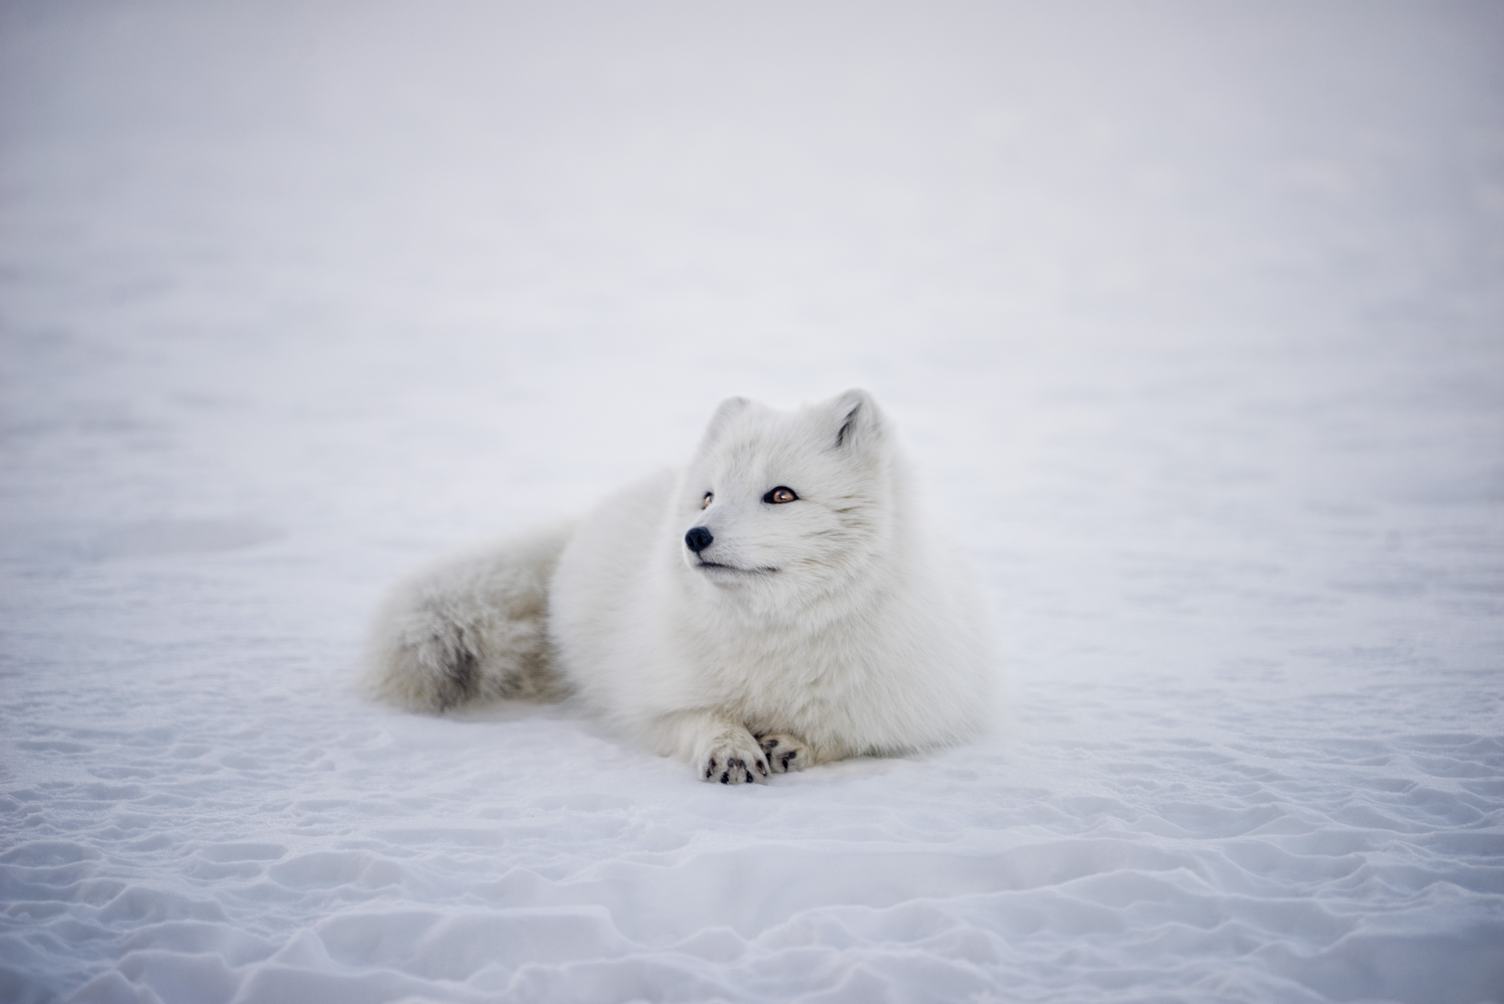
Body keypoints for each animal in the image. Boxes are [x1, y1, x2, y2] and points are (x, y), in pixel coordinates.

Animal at [366, 387, 998, 781]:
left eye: (781, 495)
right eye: (709, 497)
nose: (694, 536)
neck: (776, 635)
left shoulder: (911, 712)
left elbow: (849, 734)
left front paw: (795, 743)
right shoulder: (649, 702)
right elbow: (697, 718)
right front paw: (730, 748)